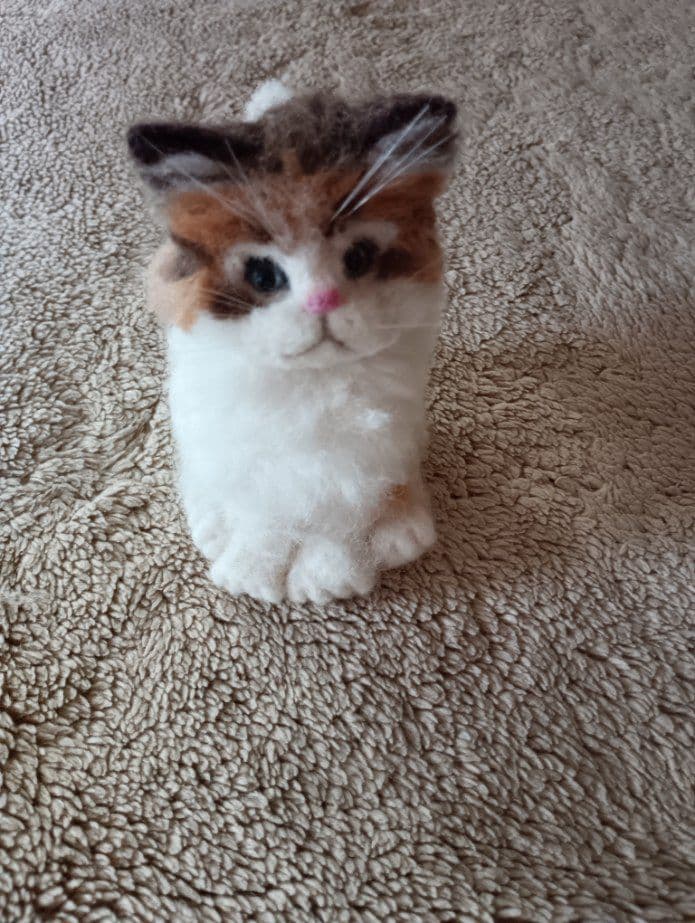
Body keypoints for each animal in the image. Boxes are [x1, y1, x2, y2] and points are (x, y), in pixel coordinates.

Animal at [127, 80, 457, 604]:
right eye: (264, 275)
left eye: (358, 258)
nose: (324, 301)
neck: (311, 385)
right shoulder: (253, 467)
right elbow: (265, 526)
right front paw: (251, 578)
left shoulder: (357, 470)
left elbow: (335, 528)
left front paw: (326, 581)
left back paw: (401, 535)